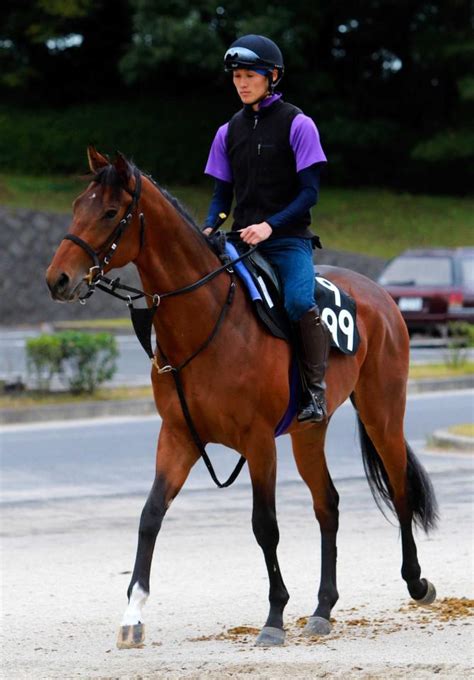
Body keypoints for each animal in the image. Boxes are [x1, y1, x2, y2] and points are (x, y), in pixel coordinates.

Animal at [44, 147, 436, 648]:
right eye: (78, 205)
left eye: (111, 212)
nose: (57, 279)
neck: (208, 319)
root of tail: (380, 295)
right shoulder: (179, 436)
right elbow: (150, 514)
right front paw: (132, 614)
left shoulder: (259, 442)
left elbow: (264, 526)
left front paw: (274, 617)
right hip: (309, 432)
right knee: (327, 504)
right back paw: (323, 608)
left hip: (381, 411)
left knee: (399, 486)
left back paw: (416, 581)